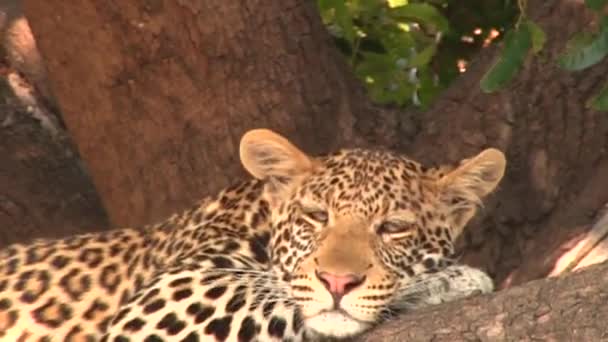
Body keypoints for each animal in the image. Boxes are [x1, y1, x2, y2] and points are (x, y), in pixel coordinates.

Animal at [0, 127, 506, 340]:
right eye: (315, 215)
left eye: (394, 228)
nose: (338, 283)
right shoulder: (166, 299)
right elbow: (281, 295)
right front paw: (454, 280)